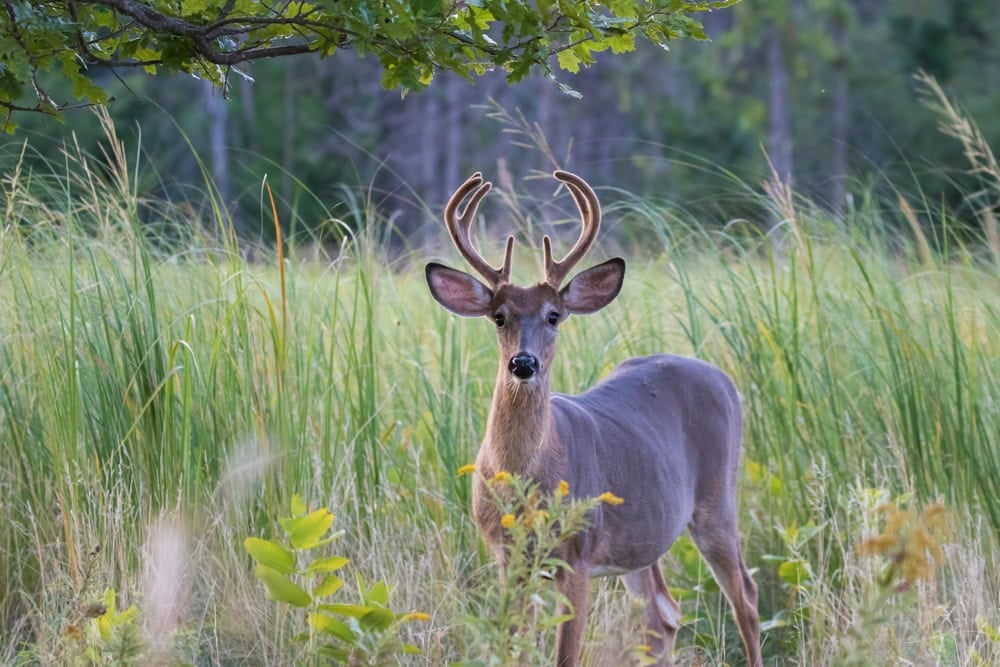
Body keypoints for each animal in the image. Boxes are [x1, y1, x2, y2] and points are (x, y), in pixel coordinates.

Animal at [424, 170, 762, 667]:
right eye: (499, 316)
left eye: (554, 316)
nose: (523, 363)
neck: (526, 476)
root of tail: (723, 378)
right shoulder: (508, 560)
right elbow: (511, 648)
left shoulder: (577, 555)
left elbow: (565, 656)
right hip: (642, 537)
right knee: (664, 613)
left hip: (717, 500)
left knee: (747, 601)